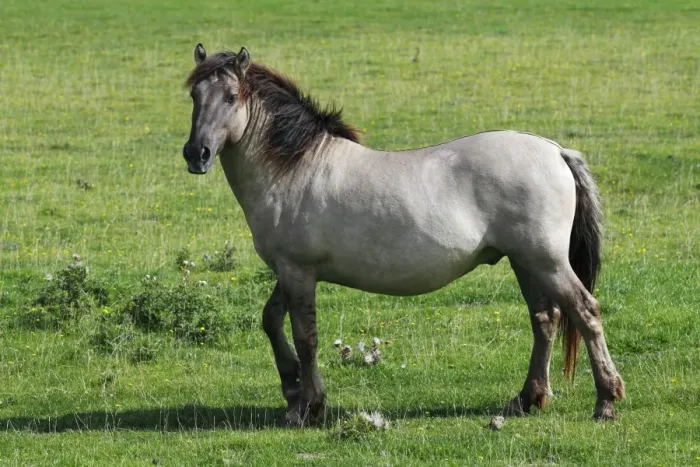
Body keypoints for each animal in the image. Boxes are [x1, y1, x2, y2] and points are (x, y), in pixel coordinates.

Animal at [182, 43, 624, 426]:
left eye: (231, 97)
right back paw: (528, 399)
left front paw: (309, 406)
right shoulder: (288, 272)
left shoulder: (298, 272)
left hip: (545, 261)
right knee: (545, 320)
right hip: (525, 263)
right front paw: (293, 396)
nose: (196, 154)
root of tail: (556, 151)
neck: (296, 167)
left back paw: (606, 401)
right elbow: (272, 321)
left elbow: (305, 337)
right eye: (194, 96)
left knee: (585, 312)